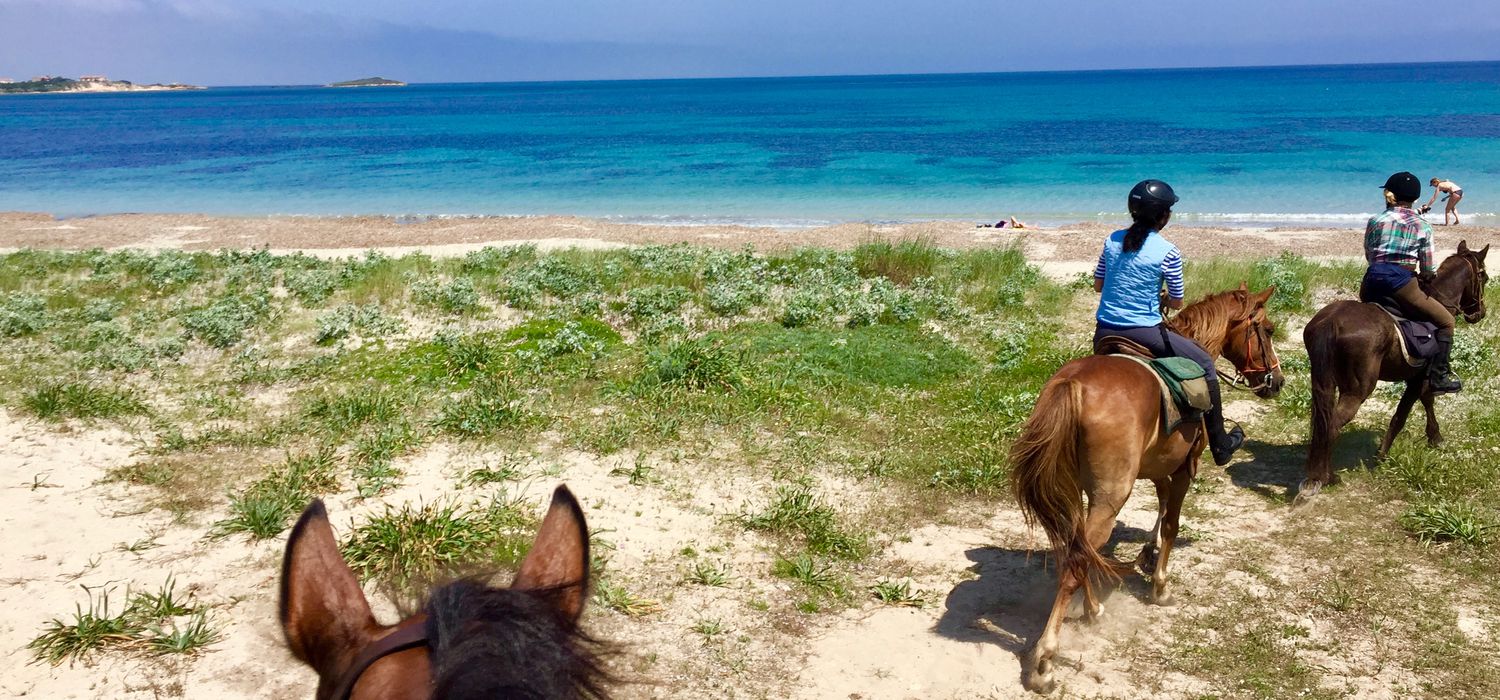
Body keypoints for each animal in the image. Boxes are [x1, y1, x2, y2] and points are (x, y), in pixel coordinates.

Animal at [1002, 284, 1284, 695]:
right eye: (1268, 329)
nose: (1276, 382)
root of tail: (1074, 384)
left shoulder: (1158, 468)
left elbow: (1162, 508)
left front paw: (1148, 554)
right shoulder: (1182, 471)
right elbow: (1172, 524)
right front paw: (1161, 585)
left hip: (1082, 491)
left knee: (1078, 549)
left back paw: (1093, 610)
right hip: (1111, 496)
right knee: (1077, 560)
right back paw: (1045, 663)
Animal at [1302, 244, 1488, 500]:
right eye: (1484, 277)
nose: (1481, 313)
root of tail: (1331, 321)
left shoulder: (1418, 377)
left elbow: (1425, 402)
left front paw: (1433, 438)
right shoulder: (1419, 379)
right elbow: (1403, 414)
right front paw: (1383, 454)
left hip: (1324, 382)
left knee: (1322, 424)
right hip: (1357, 390)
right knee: (1333, 426)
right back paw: (1328, 477)